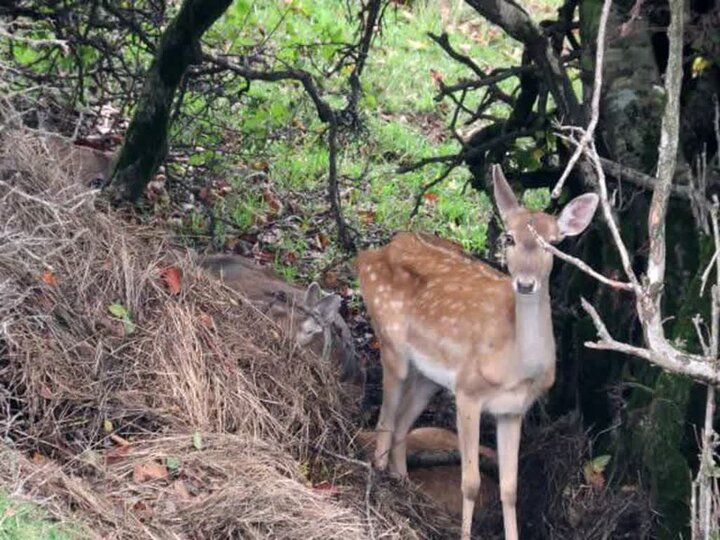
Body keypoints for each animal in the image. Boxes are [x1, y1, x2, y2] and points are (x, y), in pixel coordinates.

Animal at [358, 166, 600, 540]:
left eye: (551, 243)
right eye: (509, 238)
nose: (525, 283)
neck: (516, 366)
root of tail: (371, 254)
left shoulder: (513, 410)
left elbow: (510, 488)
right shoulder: (468, 391)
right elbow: (470, 482)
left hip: (429, 376)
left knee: (401, 425)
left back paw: (405, 486)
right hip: (390, 340)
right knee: (384, 421)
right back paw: (384, 490)